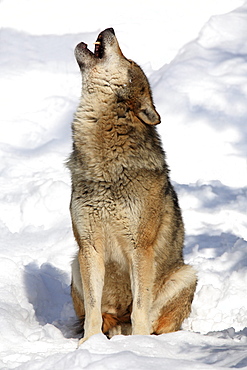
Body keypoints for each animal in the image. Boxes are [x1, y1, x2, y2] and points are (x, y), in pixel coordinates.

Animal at [67, 27, 197, 346]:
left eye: (128, 61)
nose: (110, 29)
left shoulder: (141, 248)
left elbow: (141, 307)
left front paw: (140, 346)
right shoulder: (88, 246)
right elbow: (92, 310)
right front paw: (88, 345)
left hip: (186, 274)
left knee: (152, 320)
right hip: (75, 263)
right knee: (104, 316)